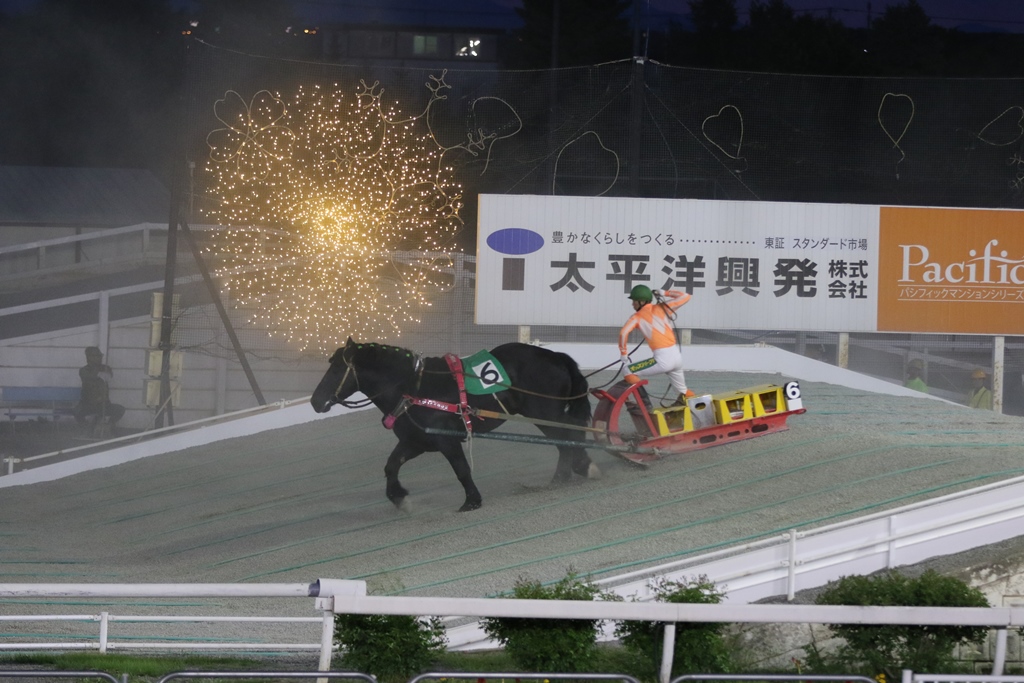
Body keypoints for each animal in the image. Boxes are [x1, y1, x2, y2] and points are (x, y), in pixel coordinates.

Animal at [311, 339, 598, 509]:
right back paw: (576, 468)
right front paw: (398, 496)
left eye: (336, 369)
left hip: (545, 411)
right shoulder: (416, 441)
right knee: (568, 438)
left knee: (567, 438)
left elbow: (461, 470)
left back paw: (568, 472)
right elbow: (391, 465)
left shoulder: (446, 439)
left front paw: (472, 500)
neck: (413, 387)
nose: (315, 401)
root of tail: (556, 356)